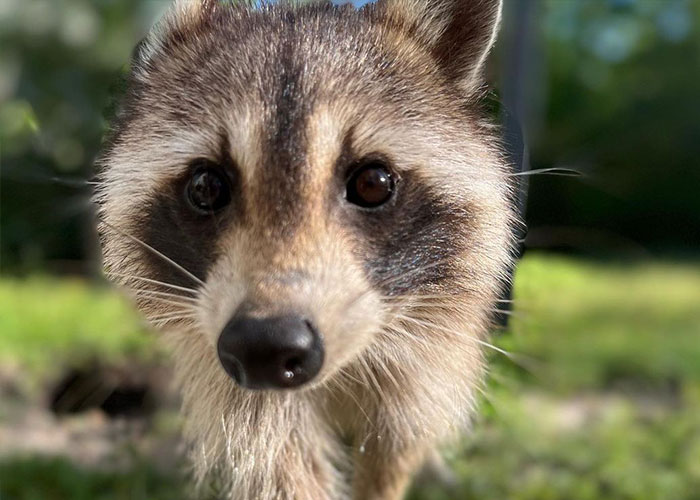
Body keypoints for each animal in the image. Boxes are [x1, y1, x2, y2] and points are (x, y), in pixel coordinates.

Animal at [94, 0, 516, 498]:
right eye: (205, 186)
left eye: (373, 184)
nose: (265, 346)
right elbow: (275, 456)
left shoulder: (431, 338)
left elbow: (396, 441)